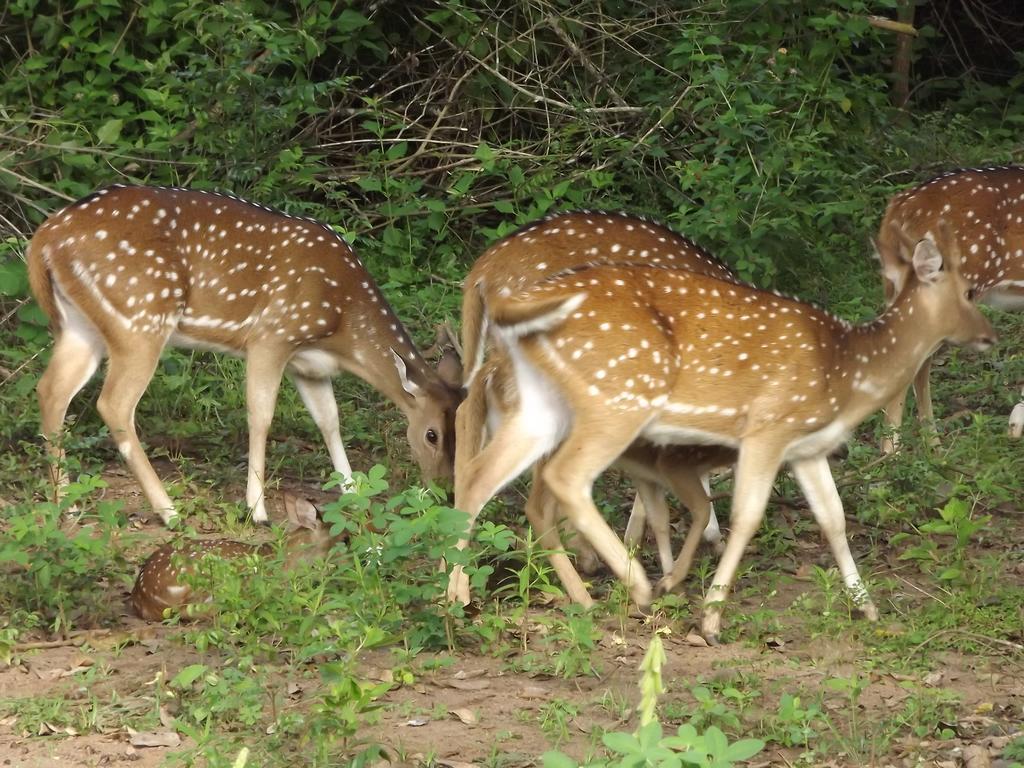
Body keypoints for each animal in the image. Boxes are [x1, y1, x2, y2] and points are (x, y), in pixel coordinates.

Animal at [28, 183, 462, 528]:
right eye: (431, 435)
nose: (446, 492)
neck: (341, 322)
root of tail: (45, 236)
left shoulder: (310, 366)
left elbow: (329, 421)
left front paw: (353, 492)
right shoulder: (272, 335)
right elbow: (261, 415)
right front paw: (258, 510)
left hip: (80, 326)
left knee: (50, 391)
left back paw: (65, 508)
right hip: (140, 315)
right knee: (113, 404)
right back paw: (169, 511)